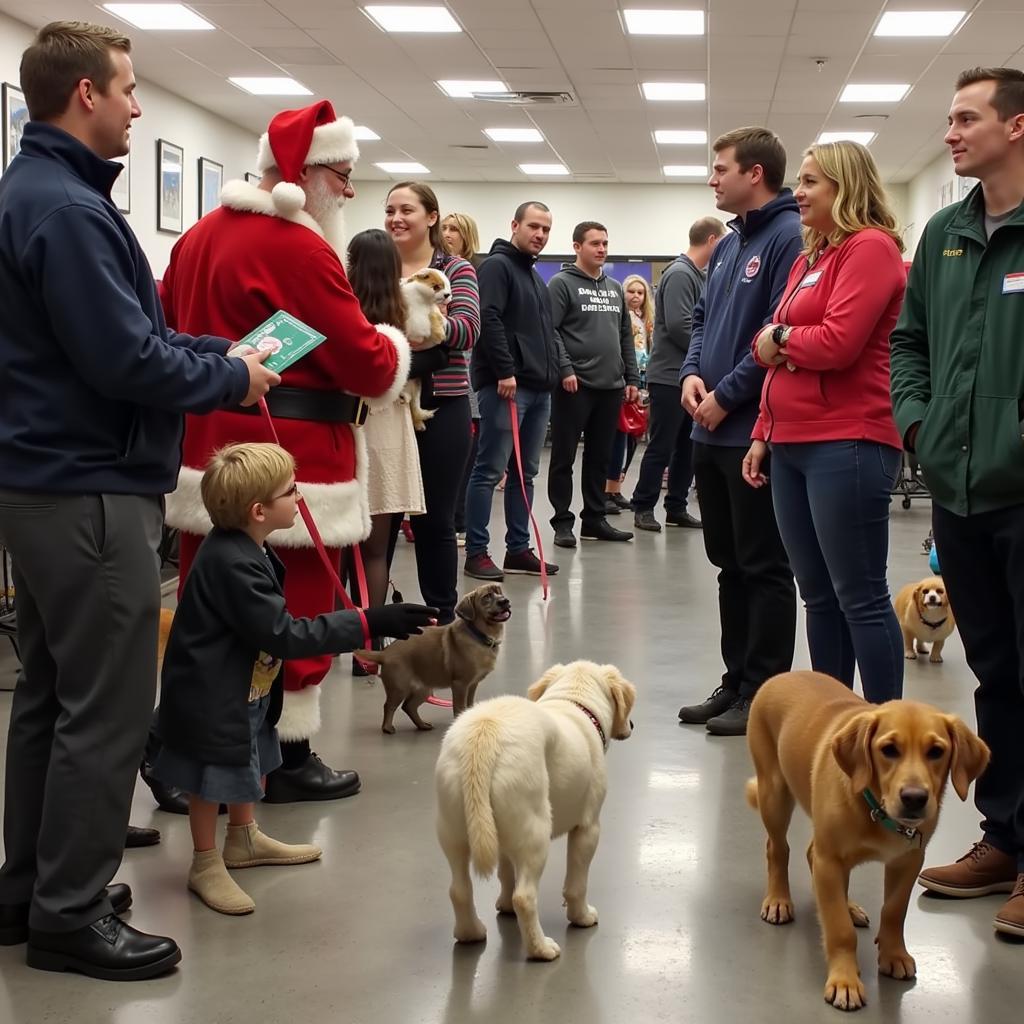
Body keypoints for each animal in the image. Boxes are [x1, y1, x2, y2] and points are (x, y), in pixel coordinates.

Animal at [356, 585, 512, 737]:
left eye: (499, 591)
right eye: (486, 597)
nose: (505, 601)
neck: (479, 634)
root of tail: (385, 653)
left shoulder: (472, 685)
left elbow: (469, 705)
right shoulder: (460, 685)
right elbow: (459, 708)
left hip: (424, 690)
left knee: (409, 706)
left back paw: (422, 725)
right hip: (399, 689)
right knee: (389, 706)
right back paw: (387, 728)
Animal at [397, 266, 450, 430]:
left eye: (446, 287)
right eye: (436, 287)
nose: (447, 295)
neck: (422, 300)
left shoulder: (431, 310)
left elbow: (434, 317)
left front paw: (439, 334)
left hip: (416, 389)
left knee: (414, 405)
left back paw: (419, 423)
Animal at [434, 663, 638, 958]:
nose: (631, 725)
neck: (573, 702)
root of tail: (486, 731)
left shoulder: (504, 838)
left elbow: (506, 873)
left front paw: (504, 904)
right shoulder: (588, 828)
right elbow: (576, 884)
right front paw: (582, 916)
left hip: (453, 832)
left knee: (459, 890)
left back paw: (470, 932)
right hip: (536, 835)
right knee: (525, 897)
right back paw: (541, 949)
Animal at [749, 667, 987, 1011]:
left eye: (936, 752)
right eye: (888, 749)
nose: (914, 798)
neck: (875, 806)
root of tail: (784, 675)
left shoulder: (908, 861)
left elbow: (894, 911)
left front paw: (893, 954)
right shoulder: (830, 859)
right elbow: (839, 930)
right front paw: (845, 980)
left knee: (811, 856)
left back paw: (848, 906)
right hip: (775, 795)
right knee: (778, 848)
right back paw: (779, 900)